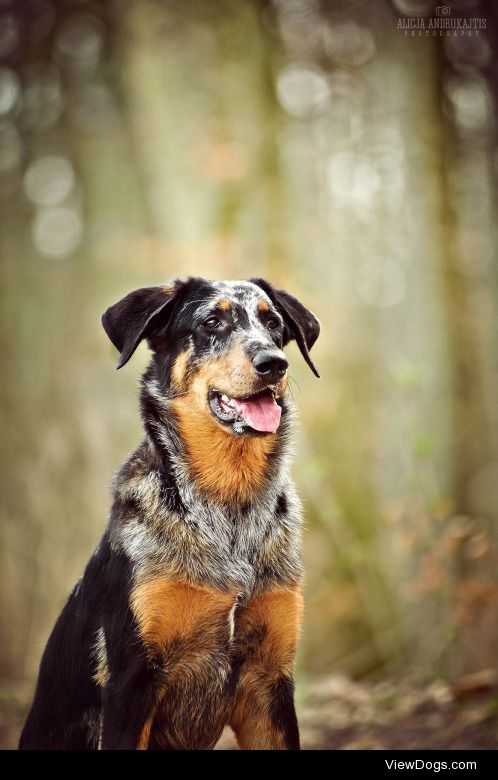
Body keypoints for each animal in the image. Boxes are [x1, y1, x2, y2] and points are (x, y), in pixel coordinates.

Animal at [18, 274, 320, 748]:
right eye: (212, 321)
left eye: (273, 323)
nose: (274, 364)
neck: (228, 507)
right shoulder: (131, 682)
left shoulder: (271, 682)